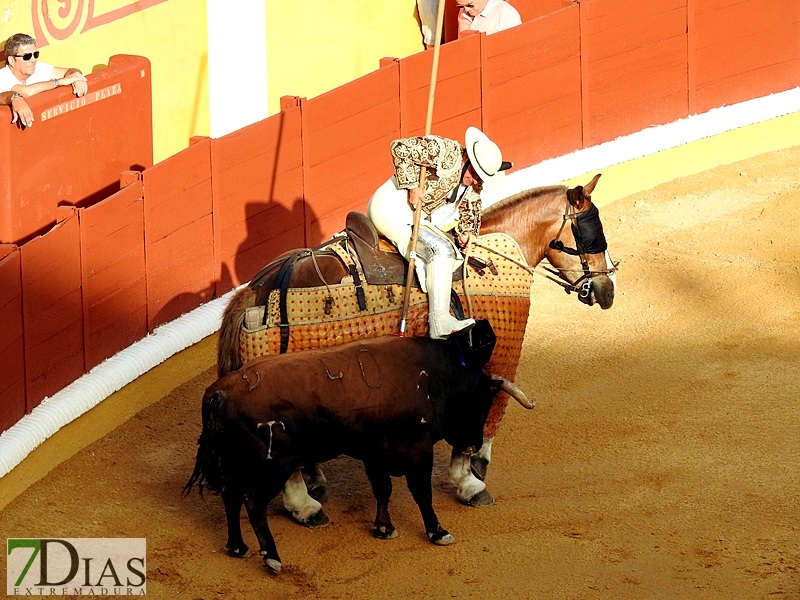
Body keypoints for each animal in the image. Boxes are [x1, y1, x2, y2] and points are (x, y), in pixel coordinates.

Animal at [185, 336, 536, 576]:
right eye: (482, 404)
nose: (473, 445)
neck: (437, 378)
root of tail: (219, 393)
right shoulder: (417, 449)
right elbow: (421, 493)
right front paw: (437, 532)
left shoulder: (375, 452)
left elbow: (383, 489)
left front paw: (383, 528)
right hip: (274, 465)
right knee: (253, 502)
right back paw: (271, 556)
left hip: (236, 462)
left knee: (231, 496)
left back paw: (237, 547)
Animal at [209, 173, 616, 528]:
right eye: (591, 233)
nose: (608, 291)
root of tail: (254, 291)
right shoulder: (486, 365)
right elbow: (476, 425)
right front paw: (471, 481)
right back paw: (306, 507)